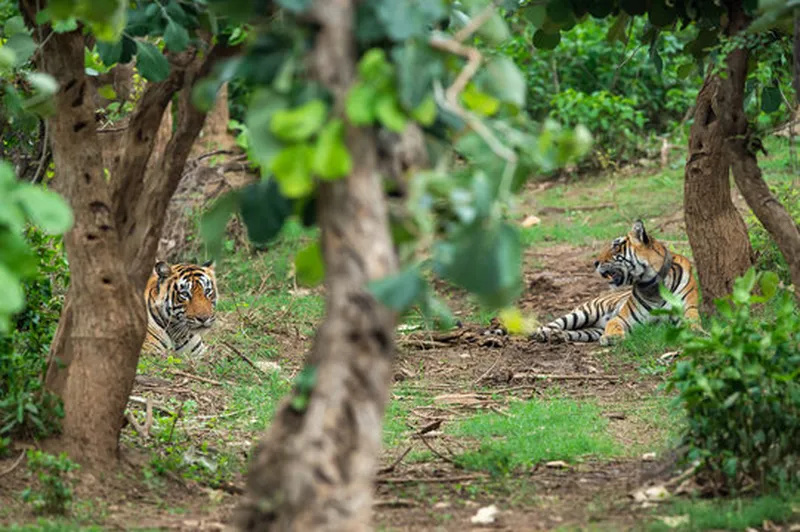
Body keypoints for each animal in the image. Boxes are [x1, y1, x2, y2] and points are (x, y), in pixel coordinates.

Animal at [532, 219, 700, 348]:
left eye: (616, 246)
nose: (595, 262)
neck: (653, 286)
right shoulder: (621, 318)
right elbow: (613, 324)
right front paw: (612, 337)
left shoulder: (689, 309)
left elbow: (693, 322)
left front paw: (695, 333)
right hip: (584, 313)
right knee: (553, 323)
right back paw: (543, 333)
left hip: (590, 330)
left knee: (574, 332)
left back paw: (560, 336)